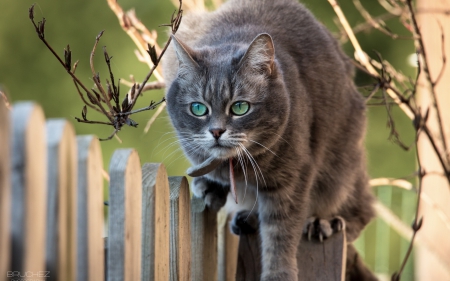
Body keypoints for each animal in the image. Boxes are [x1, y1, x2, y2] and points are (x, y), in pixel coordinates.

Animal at [163, 0, 374, 278]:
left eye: (240, 107)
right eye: (198, 108)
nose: (217, 131)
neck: (237, 167)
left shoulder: (291, 179)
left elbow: (280, 233)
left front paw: (279, 274)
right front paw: (209, 185)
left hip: (342, 164)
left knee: (362, 208)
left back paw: (325, 222)